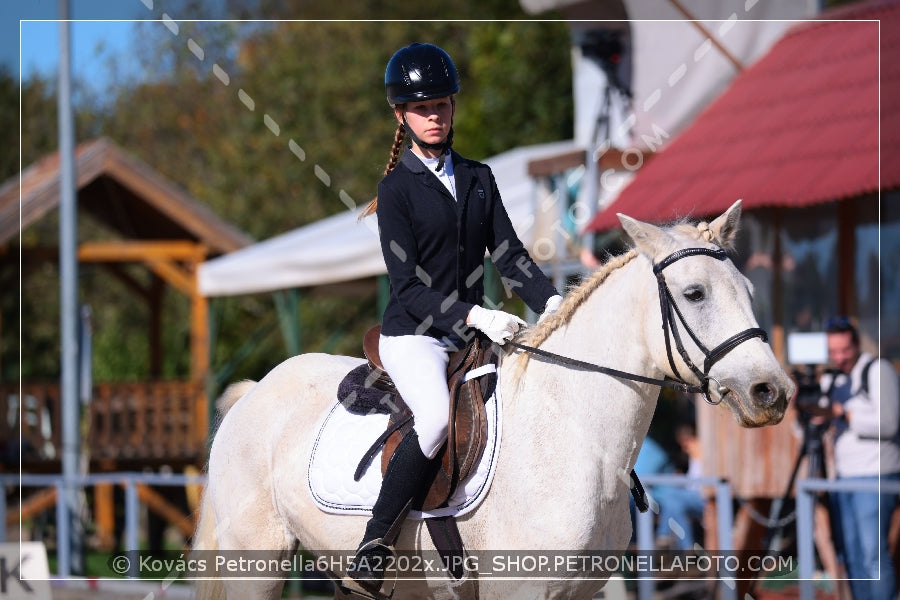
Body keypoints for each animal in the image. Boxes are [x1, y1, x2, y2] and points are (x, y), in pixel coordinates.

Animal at [193, 203, 792, 600]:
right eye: (694, 293)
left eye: (748, 290)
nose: (772, 392)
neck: (575, 432)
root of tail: (256, 391)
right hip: (257, 561)